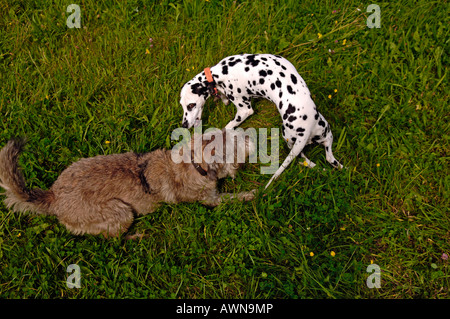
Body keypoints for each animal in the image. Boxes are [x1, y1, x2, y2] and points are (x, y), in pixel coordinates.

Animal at [0, 129, 255, 238]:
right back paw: (135, 236)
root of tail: (53, 196)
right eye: (234, 142)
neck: (192, 162)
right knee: (111, 238)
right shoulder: (211, 200)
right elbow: (232, 198)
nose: (249, 134)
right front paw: (252, 194)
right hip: (122, 212)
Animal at [179, 53, 342, 189]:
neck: (220, 73)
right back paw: (336, 167)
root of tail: (306, 129)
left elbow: (226, 128)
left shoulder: (244, 110)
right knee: (325, 158)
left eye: (191, 105)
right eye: (182, 105)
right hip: (322, 134)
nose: (184, 125)